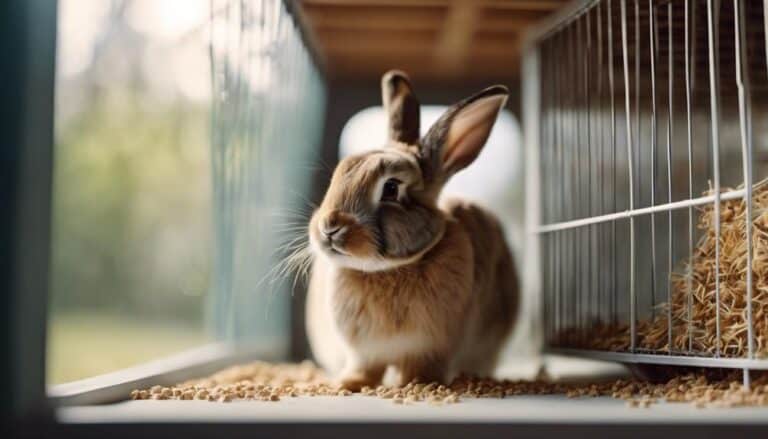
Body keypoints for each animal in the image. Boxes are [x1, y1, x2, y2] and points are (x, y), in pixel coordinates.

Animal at [305, 70, 518, 391]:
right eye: (340, 173)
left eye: (391, 188)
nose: (329, 228)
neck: (386, 270)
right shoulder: (364, 353)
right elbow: (364, 369)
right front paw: (349, 384)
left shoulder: (431, 348)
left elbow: (421, 369)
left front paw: (419, 385)